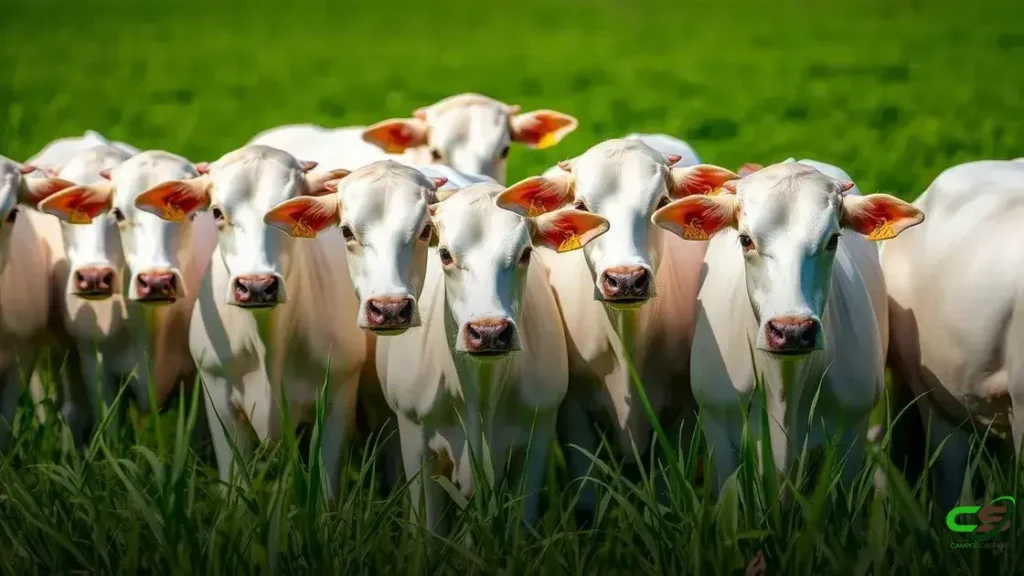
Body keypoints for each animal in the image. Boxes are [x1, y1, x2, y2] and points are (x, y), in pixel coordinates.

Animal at [495, 138, 738, 525]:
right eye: (581, 206)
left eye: (661, 203)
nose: (625, 279)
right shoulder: (574, 413)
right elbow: (586, 506)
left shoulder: (682, 414)